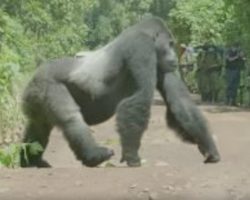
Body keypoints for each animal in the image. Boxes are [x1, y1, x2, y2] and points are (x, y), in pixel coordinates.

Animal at [20, 16, 220, 167]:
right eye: (170, 44)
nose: (174, 57)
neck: (145, 33)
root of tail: (33, 75)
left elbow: (180, 103)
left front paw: (208, 147)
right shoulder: (141, 47)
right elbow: (139, 99)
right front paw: (132, 155)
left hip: (35, 95)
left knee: (38, 127)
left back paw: (30, 161)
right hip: (46, 84)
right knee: (71, 119)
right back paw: (94, 155)